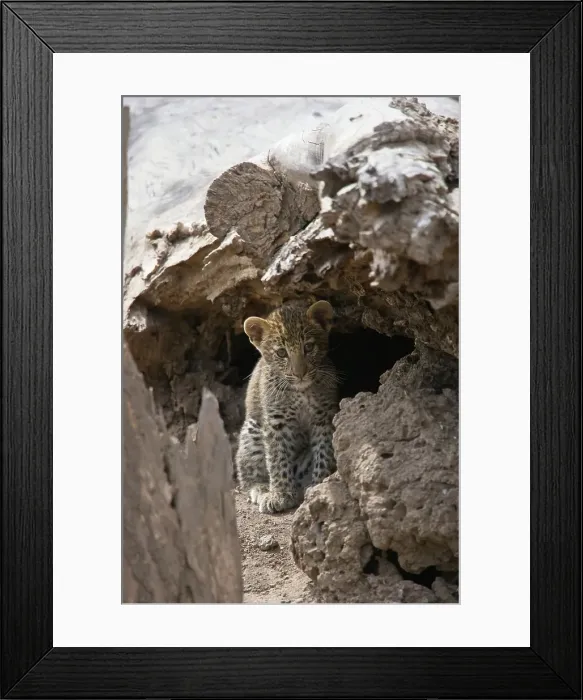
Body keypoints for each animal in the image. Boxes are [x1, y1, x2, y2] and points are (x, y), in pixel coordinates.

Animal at [235, 299, 338, 514]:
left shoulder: (324, 416)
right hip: (252, 431)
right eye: (281, 353)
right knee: (247, 472)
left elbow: (324, 451)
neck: (300, 391)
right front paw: (280, 495)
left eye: (309, 347)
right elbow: (277, 457)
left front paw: (319, 485)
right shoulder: (277, 421)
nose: (300, 373)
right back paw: (261, 489)